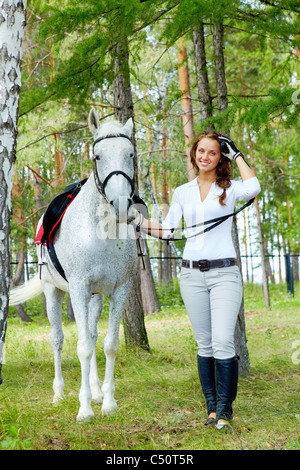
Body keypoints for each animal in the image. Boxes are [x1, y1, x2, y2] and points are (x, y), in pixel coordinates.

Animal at [9, 110, 139, 422]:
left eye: (130, 153)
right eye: (97, 156)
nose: (120, 206)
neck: (103, 231)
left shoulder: (118, 291)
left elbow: (108, 345)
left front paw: (107, 402)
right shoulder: (78, 289)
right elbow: (82, 349)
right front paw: (84, 409)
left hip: (94, 299)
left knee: (91, 335)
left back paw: (95, 391)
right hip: (53, 292)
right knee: (57, 340)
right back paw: (58, 394)